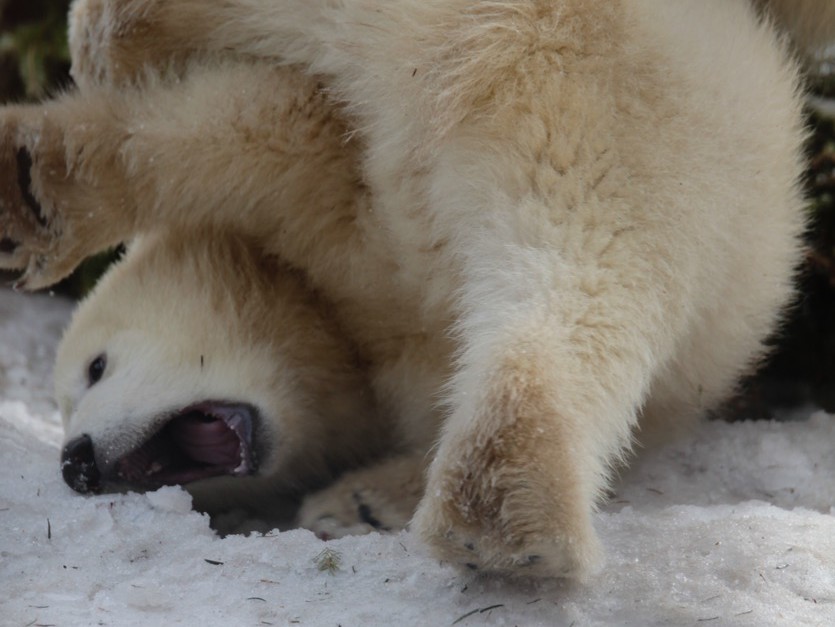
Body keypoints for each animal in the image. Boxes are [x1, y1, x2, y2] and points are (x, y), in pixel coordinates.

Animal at [0, 0, 828, 580]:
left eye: (95, 368)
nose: (75, 460)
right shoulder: (343, 193)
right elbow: (251, 129)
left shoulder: (335, 209)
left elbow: (240, 135)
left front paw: (357, 500)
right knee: (580, 278)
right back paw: (503, 505)